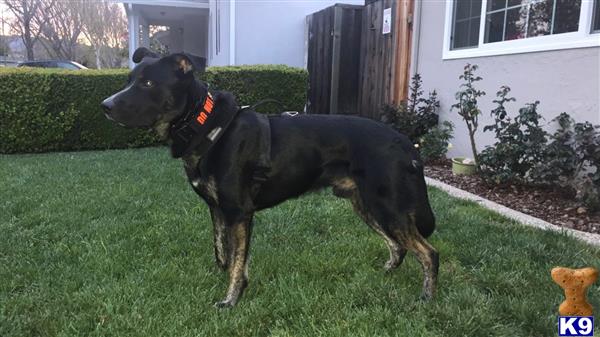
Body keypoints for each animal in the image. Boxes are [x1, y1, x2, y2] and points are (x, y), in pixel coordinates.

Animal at [103, 47, 438, 308]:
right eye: (128, 81)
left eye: (148, 83)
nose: (104, 106)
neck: (206, 124)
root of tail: (406, 142)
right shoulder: (217, 209)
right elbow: (223, 254)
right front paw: (224, 280)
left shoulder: (239, 212)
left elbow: (237, 261)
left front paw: (230, 300)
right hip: (366, 204)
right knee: (399, 246)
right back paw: (384, 275)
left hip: (388, 205)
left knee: (429, 253)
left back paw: (425, 299)